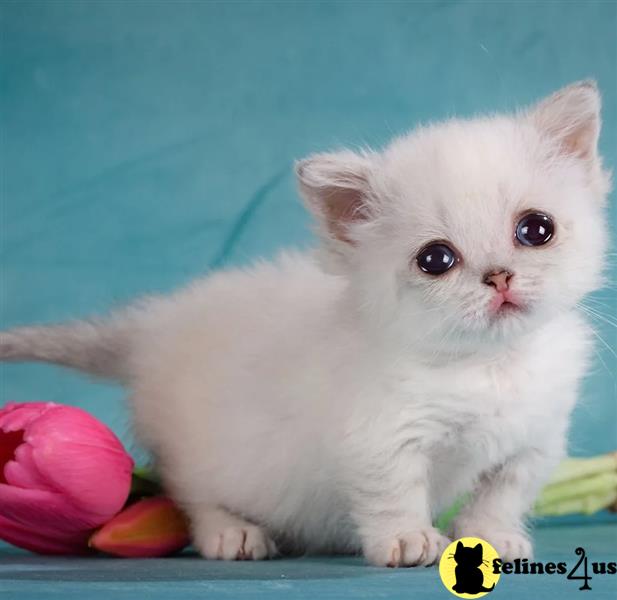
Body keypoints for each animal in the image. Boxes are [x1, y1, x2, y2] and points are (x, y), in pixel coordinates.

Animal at [0, 82, 608, 564]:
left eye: (536, 229)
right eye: (436, 259)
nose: (499, 277)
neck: (489, 365)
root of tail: (153, 328)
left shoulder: (534, 441)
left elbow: (503, 493)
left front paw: (492, 537)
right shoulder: (378, 439)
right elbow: (392, 491)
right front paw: (406, 539)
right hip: (205, 457)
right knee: (189, 495)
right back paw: (233, 533)